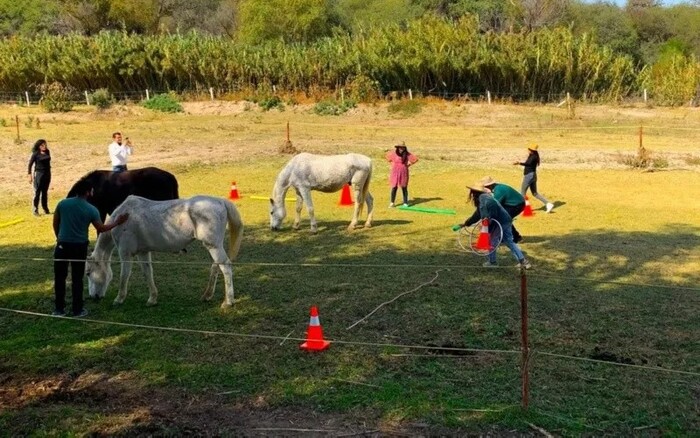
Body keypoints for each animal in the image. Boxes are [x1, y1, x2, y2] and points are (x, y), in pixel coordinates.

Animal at [86, 195, 245, 308]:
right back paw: (207, 295)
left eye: (88, 273)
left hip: (214, 246)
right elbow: (147, 273)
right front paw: (152, 299)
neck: (123, 218)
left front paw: (119, 299)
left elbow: (123, 277)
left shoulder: (125, 254)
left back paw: (228, 302)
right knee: (216, 266)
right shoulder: (143, 253)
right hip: (214, 246)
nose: (93, 297)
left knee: (225, 267)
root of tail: (220, 201)